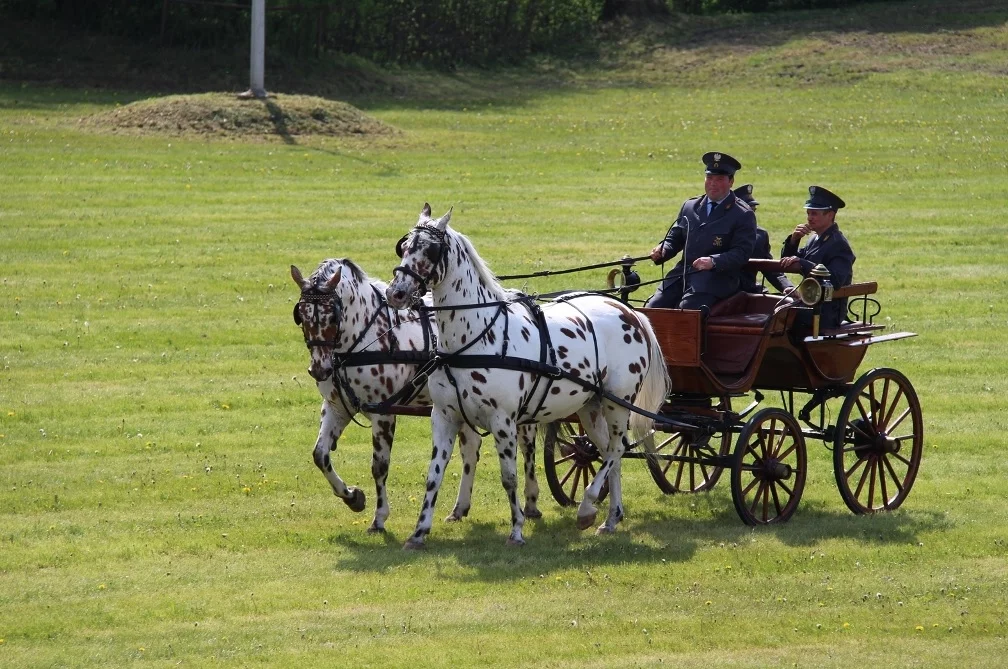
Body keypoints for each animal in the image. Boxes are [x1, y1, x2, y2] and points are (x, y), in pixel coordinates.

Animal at [292, 256, 544, 531]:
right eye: (301, 315)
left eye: (332, 316)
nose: (319, 369)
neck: (367, 333)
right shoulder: (336, 407)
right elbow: (320, 455)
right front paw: (352, 497)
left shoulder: (383, 414)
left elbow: (379, 466)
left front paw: (379, 517)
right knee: (471, 449)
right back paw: (460, 507)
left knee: (527, 448)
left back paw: (531, 502)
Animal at [385, 205, 669, 548]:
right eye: (404, 246)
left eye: (429, 249)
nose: (395, 293)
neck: (475, 338)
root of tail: (629, 311)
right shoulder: (444, 417)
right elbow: (433, 475)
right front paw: (419, 531)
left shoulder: (503, 421)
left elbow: (509, 477)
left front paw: (517, 530)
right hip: (591, 406)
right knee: (606, 452)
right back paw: (611, 518)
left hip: (618, 403)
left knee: (616, 450)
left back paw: (587, 506)